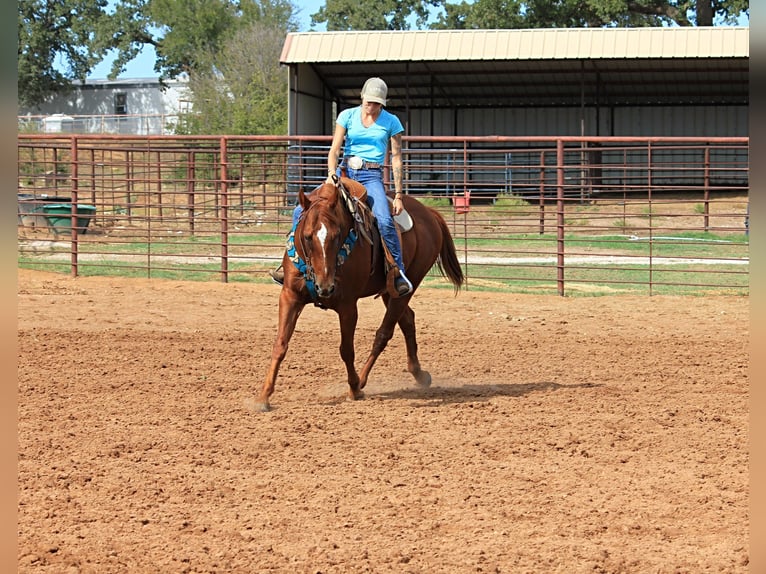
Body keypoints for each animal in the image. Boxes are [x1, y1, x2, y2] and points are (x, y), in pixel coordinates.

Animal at [255, 178, 464, 412]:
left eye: (337, 235)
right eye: (308, 237)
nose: (325, 287)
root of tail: (429, 213)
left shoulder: (348, 306)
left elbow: (346, 349)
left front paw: (354, 388)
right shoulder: (289, 296)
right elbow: (280, 344)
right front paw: (263, 397)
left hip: (410, 283)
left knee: (383, 333)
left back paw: (363, 380)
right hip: (388, 291)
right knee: (408, 320)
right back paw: (419, 374)